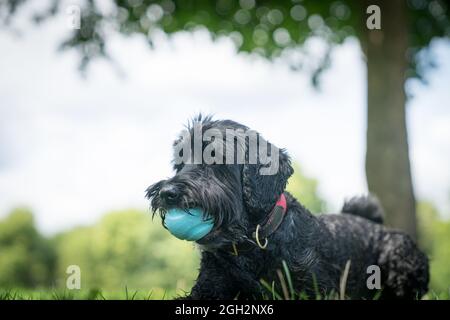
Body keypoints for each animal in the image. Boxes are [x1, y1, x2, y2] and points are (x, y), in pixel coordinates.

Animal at [148, 115, 428, 300]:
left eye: (215, 157)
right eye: (179, 164)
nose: (166, 193)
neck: (255, 243)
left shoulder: (317, 289)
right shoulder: (207, 289)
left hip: (400, 255)